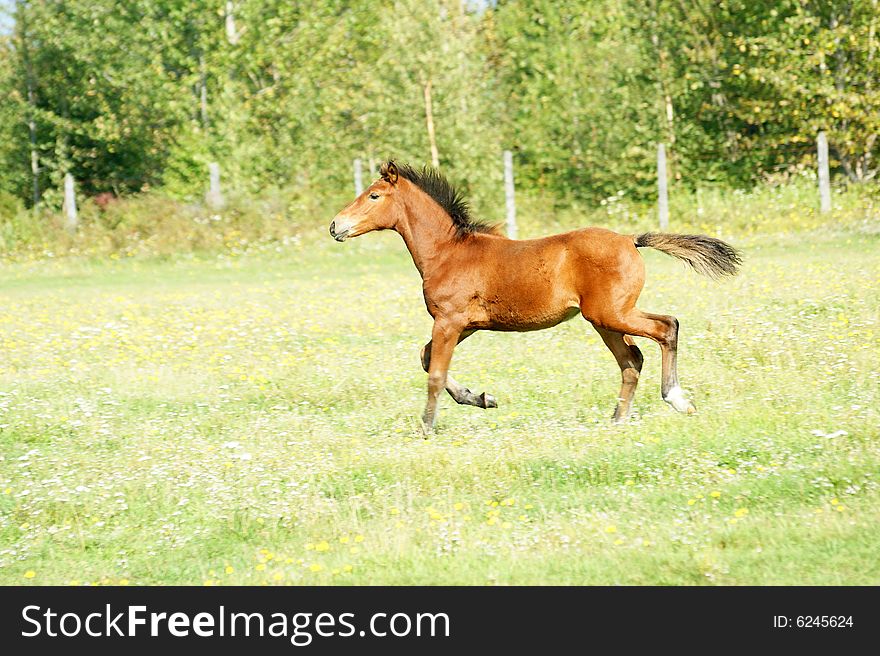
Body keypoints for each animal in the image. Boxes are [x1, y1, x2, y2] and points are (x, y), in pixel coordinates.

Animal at [332, 161, 744, 434]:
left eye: (373, 195)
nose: (336, 226)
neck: (448, 252)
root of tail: (630, 240)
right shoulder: (466, 324)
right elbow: (427, 358)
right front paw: (481, 398)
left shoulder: (449, 320)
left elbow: (434, 373)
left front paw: (428, 428)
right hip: (604, 320)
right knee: (632, 360)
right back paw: (616, 420)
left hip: (612, 313)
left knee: (666, 327)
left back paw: (676, 399)